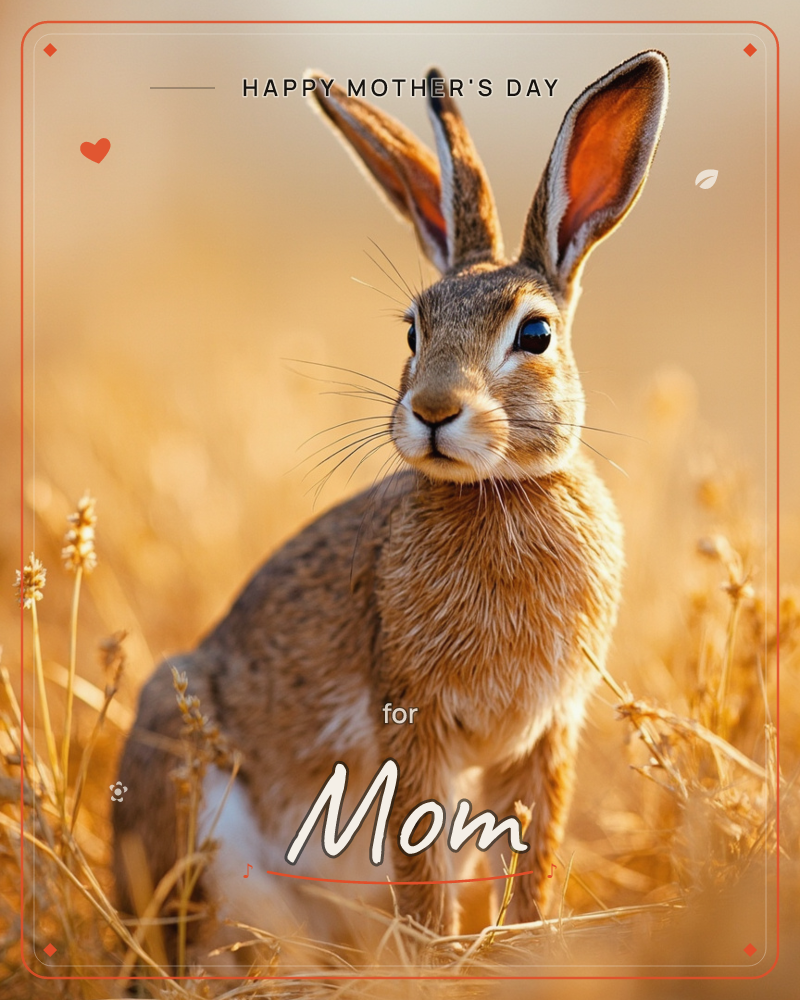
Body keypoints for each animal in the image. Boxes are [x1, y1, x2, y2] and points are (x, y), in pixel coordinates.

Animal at [113, 50, 668, 961]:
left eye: (536, 335)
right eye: (413, 330)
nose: (435, 409)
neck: (498, 493)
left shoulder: (548, 733)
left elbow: (533, 857)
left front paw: (521, 949)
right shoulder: (411, 718)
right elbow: (424, 854)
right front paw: (439, 958)